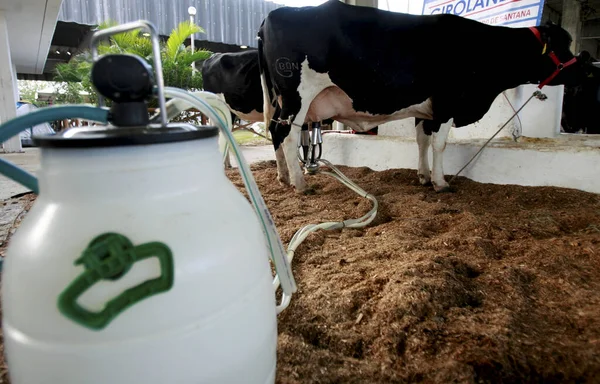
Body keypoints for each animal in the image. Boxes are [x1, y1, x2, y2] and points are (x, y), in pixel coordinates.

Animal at [255, 0, 588, 192]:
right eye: (562, 45)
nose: (586, 69)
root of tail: (271, 16)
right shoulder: (448, 102)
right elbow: (440, 144)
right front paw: (440, 183)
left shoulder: (426, 109)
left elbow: (422, 141)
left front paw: (424, 177)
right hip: (296, 97)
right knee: (286, 134)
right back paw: (300, 184)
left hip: (280, 100)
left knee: (274, 130)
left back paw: (283, 177)